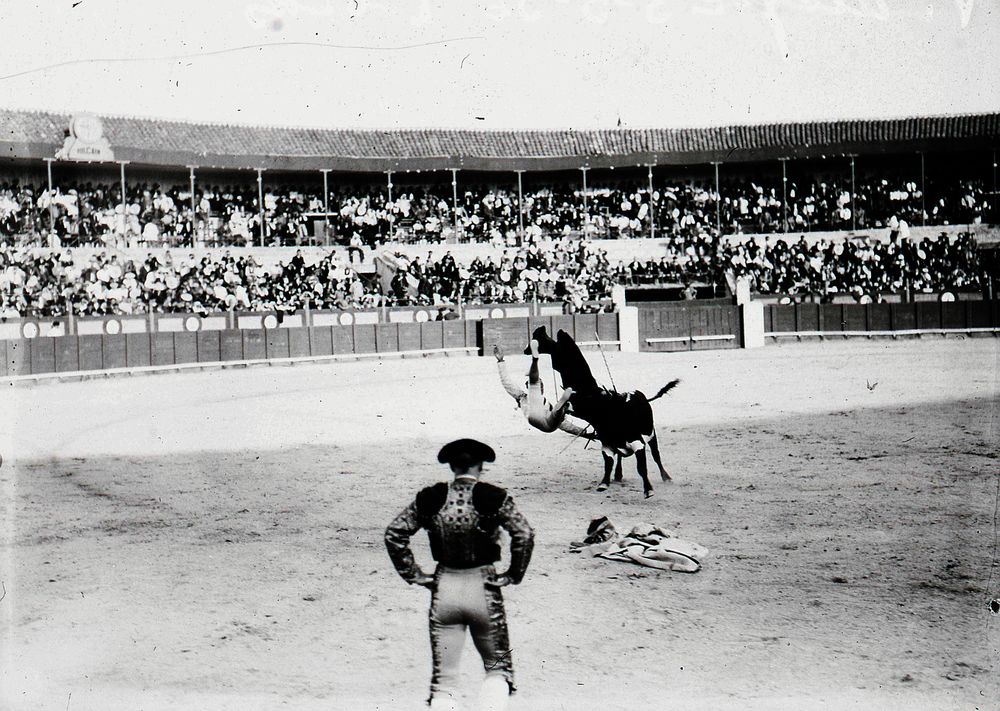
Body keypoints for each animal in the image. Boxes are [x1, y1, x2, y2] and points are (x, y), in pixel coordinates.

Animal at [524, 326, 680, 498]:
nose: (527, 349)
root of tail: (642, 397)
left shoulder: (636, 442)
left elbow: (641, 467)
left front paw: (648, 490)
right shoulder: (607, 444)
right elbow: (609, 464)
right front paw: (604, 483)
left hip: (651, 434)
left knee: (656, 455)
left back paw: (666, 477)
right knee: (622, 457)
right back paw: (618, 475)